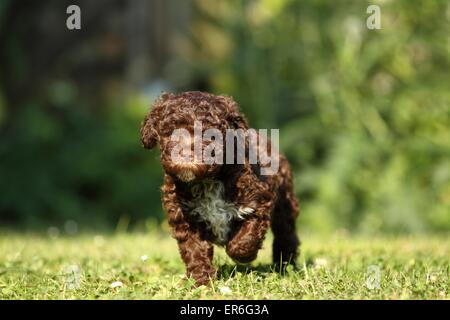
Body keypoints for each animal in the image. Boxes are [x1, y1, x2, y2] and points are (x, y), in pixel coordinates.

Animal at [141, 91, 300, 286]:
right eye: (170, 130)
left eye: (210, 133)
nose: (185, 154)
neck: (206, 181)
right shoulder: (184, 217)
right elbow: (194, 250)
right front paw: (199, 282)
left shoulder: (259, 200)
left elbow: (245, 238)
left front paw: (243, 254)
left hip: (285, 203)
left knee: (286, 234)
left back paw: (285, 265)